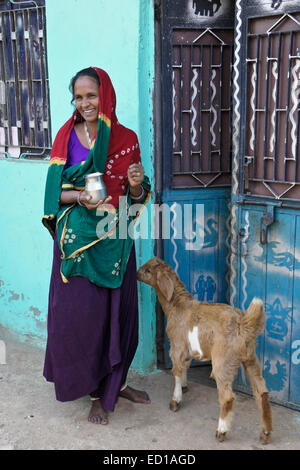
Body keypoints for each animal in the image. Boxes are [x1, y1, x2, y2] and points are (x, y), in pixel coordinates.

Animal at [137, 258, 274, 444]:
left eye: (148, 271)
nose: (136, 273)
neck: (177, 305)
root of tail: (242, 325)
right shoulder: (187, 349)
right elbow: (184, 366)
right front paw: (185, 386)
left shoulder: (177, 345)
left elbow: (176, 371)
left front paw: (175, 401)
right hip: (251, 358)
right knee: (262, 393)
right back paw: (265, 433)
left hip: (223, 361)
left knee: (227, 397)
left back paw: (221, 431)